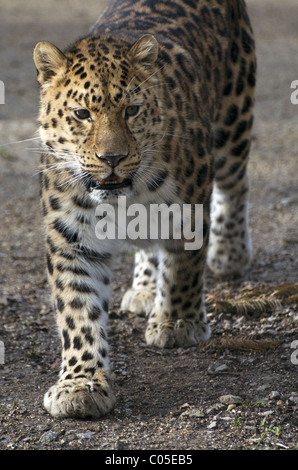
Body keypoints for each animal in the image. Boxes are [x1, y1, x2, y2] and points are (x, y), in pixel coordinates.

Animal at [33, 0, 256, 418]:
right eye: (82, 114)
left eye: (132, 110)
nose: (113, 158)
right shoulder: (70, 237)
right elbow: (77, 310)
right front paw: (79, 384)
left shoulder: (190, 200)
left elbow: (184, 266)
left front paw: (177, 323)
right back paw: (145, 288)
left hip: (235, 121)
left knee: (236, 185)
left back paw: (230, 252)